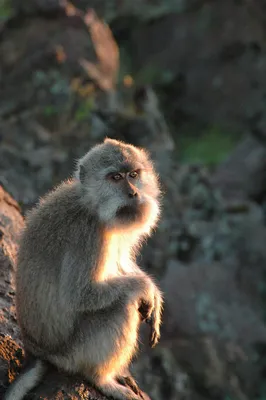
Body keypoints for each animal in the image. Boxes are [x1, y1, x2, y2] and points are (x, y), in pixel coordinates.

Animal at [4, 138, 163, 400]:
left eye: (133, 174)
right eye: (115, 177)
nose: (133, 193)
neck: (93, 206)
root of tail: (35, 351)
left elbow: (120, 262)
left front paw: (155, 297)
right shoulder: (87, 237)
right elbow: (80, 294)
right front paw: (146, 287)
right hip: (72, 354)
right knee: (122, 306)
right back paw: (101, 379)